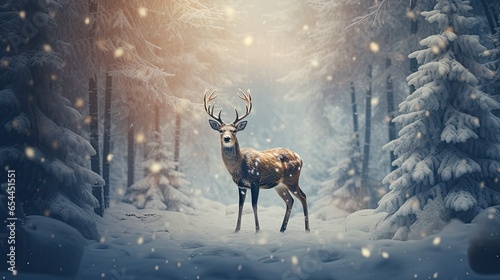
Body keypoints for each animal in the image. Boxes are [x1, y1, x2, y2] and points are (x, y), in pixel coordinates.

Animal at [203, 88, 308, 233]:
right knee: (290, 200)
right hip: (279, 185)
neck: (238, 168)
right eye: (221, 130)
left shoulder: (255, 181)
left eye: (234, 131)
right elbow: (240, 206)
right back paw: (282, 229)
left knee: (303, 197)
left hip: (292, 178)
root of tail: (300, 158)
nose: (227, 138)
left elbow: (254, 204)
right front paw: (236, 230)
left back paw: (307, 229)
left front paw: (257, 230)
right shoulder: (241, 185)